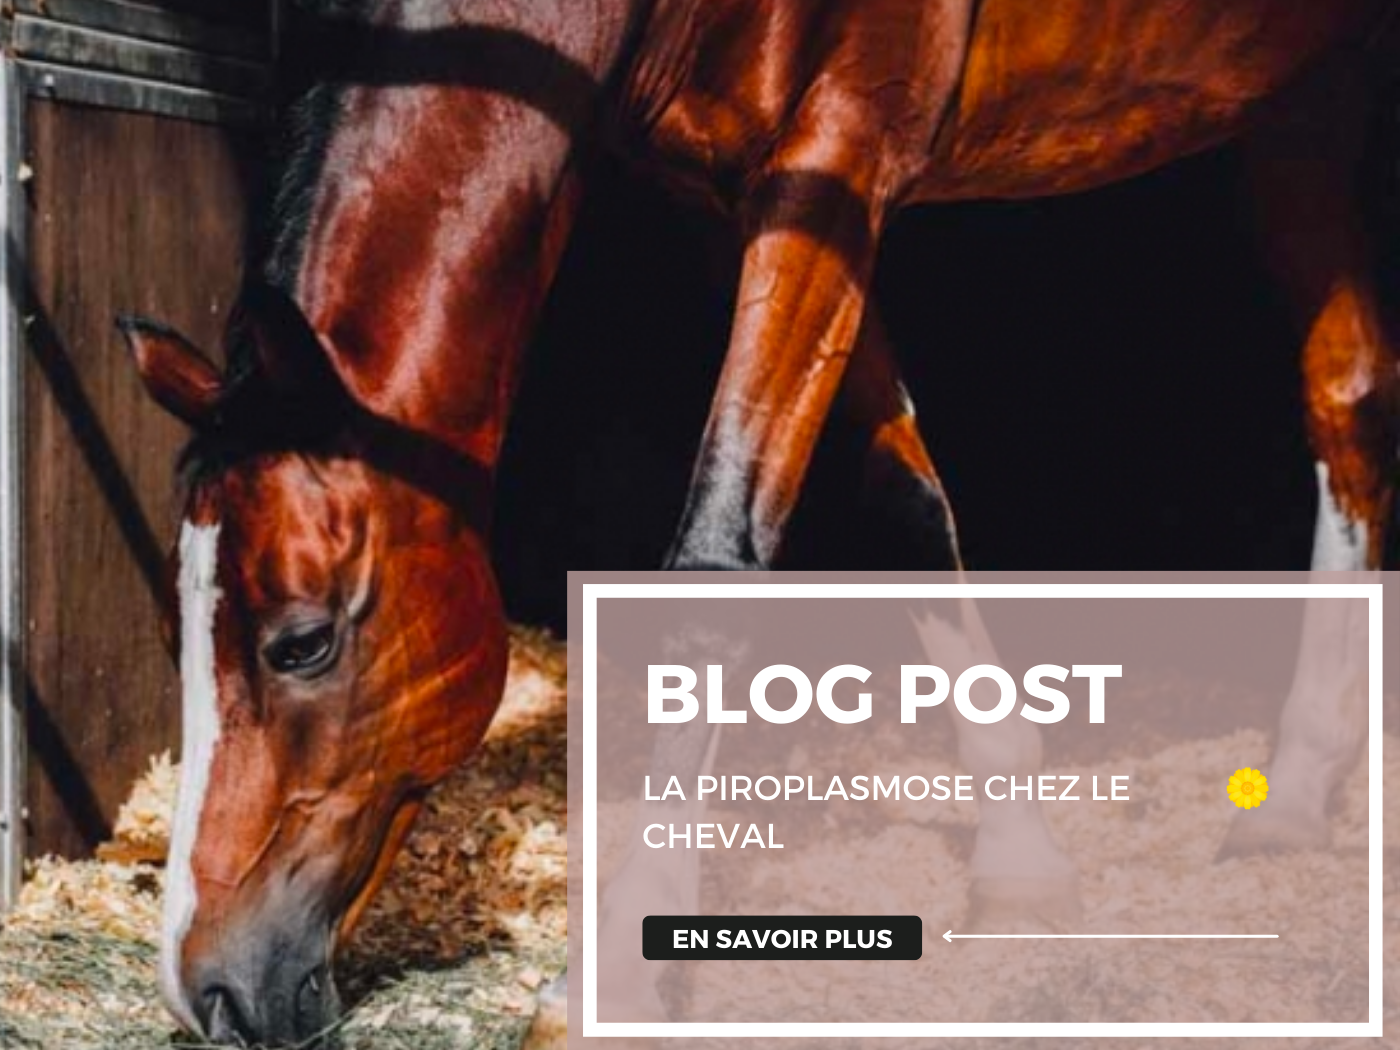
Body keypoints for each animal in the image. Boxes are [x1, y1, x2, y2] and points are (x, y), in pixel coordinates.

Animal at [118, 0, 1396, 1043]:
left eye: (300, 641)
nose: (203, 988)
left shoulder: (831, 162)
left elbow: (713, 567)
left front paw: (605, 986)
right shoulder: (764, 202)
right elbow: (906, 509)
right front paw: (1019, 857)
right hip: (1305, 103)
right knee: (1343, 397)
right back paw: (1295, 790)